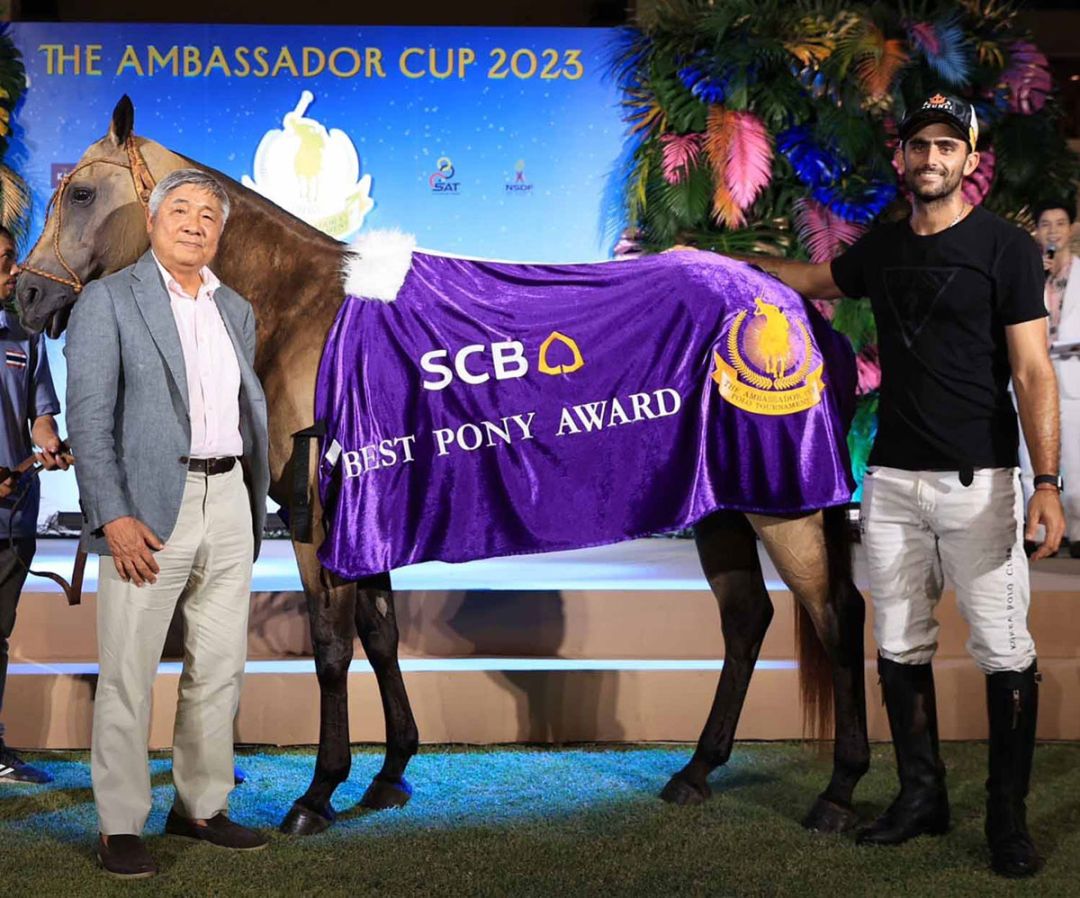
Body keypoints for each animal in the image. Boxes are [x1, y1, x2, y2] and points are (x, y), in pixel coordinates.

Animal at [15, 96, 869, 836]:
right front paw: (390, 774)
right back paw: (695, 772)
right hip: (722, 504)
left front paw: (319, 795)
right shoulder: (367, 521)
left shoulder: (321, 525)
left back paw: (839, 793)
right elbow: (381, 634)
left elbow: (333, 649)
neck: (307, 314)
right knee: (748, 617)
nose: (24, 294)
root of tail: (789, 300)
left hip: (786, 508)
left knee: (839, 614)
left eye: (82, 191)